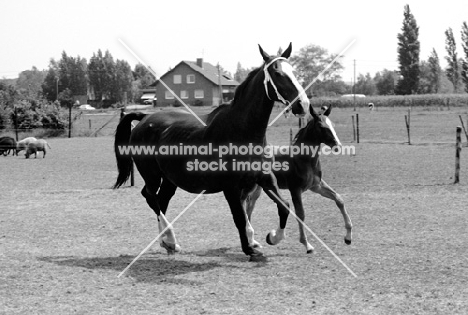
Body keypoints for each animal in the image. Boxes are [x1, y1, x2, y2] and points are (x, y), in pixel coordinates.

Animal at [113, 43, 310, 262]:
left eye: (293, 71)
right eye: (277, 74)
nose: (303, 104)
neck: (241, 130)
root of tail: (144, 119)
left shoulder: (264, 178)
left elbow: (284, 205)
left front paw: (271, 237)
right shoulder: (230, 187)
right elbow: (239, 217)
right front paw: (249, 249)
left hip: (170, 179)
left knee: (161, 200)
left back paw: (167, 243)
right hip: (152, 175)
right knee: (150, 197)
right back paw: (170, 238)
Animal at [245, 106, 352, 254]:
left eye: (333, 125)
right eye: (321, 126)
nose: (338, 146)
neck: (303, 159)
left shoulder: (316, 186)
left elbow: (339, 199)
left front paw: (348, 237)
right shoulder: (295, 189)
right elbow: (300, 214)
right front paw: (307, 244)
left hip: (259, 188)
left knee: (250, 206)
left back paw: (253, 241)